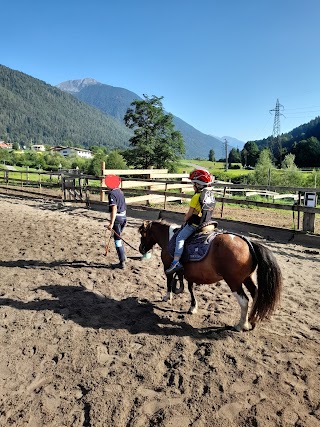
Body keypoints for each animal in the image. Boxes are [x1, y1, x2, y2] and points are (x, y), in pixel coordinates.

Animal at [138, 219, 282, 332]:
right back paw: (251, 320)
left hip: (234, 282)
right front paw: (193, 307)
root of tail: (249, 243)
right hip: (247, 278)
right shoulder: (190, 273)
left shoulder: (168, 267)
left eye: (142, 234)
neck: (169, 238)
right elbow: (190, 288)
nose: (141, 249)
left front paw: (167, 296)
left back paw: (241, 325)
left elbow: (169, 282)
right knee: (255, 294)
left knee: (244, 301)